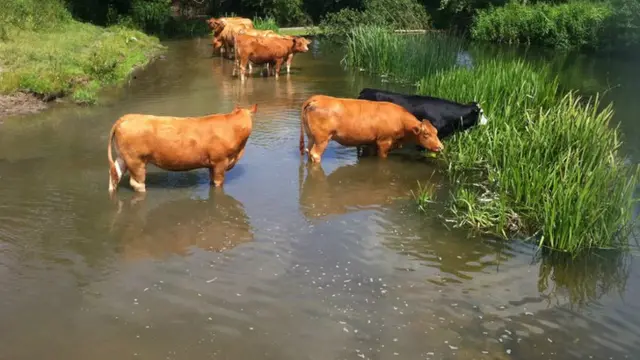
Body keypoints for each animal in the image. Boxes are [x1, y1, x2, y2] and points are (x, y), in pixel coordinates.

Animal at [107, 104, 258, 194]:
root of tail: (125, 117)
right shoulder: (220, 162)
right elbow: (218, 183)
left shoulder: (212, 165)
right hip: (135, 160)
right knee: (136, 182)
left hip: (123, 157)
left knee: (115, 173)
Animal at [298, 95, 442, 164]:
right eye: (426, 134)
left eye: (436, 132)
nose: (441, 147)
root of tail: (316, 98)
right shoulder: (384, 142)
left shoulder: (372, 142)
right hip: (322, 139)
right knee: (315, 154)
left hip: (311, 137)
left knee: (308, 151)